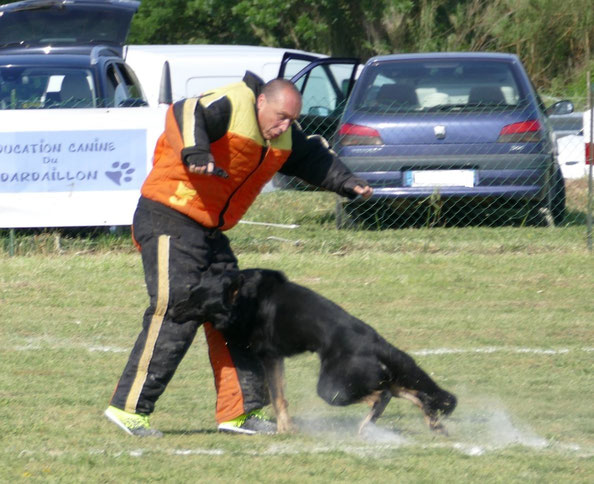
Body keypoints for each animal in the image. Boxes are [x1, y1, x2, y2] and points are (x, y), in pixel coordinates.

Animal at [210, 268, 456, 434]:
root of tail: (378, 343)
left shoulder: (270, 356)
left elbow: (278, 397)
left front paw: (284, 430)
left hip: (332, 388)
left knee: (382, 396)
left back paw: (366, 427)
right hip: (380, 379)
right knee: (417, 395)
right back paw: (434, 425)